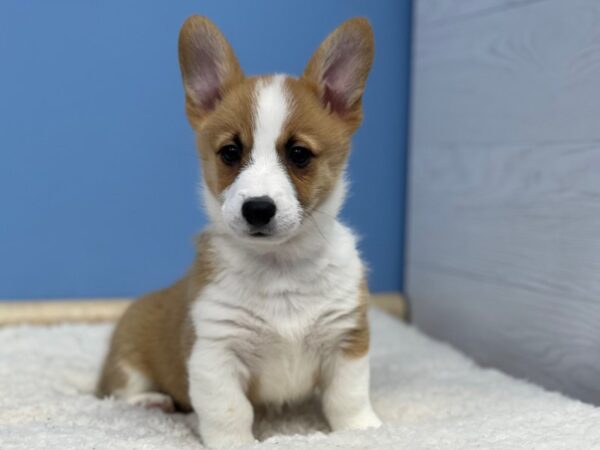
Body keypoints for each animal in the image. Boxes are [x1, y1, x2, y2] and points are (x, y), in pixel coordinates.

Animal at [98, 15, 380, 448]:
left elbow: (347, 398)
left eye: (299, 154)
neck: (281, 265)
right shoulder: (216, 353)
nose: (258, 209)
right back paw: (151, 401)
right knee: (118, 390)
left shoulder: (346, 340)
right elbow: (229, 413)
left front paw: (363, 431)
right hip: (128, 360)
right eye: (230, 152)